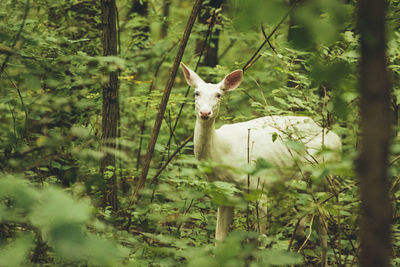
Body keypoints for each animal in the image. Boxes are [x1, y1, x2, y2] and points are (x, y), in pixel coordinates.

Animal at [181, 62, 340, 245]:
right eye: (196, 93)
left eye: (219, 95)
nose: (205, 113)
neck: (222, 152)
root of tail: (336, 139)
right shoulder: (224, 193)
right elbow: (219, 238)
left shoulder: (258, 185)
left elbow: (260, 239)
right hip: (303, 182)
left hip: (321, 172)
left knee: (328, 205)